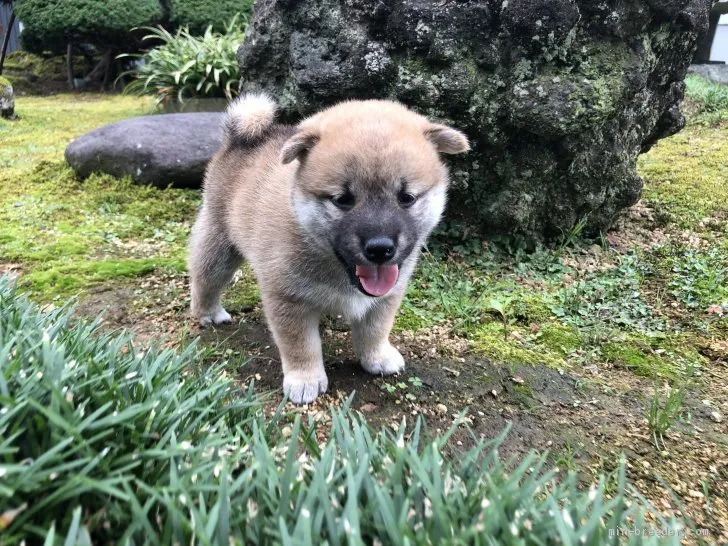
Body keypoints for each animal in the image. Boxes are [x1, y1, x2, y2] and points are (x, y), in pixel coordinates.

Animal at [188, 93, 470, 402]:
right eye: (343, 199)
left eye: (406, 197)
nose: (380, 248)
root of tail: (242, 138)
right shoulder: (288, 298)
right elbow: (301, 345)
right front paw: (305, 379)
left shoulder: (387, 296)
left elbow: (376, 330)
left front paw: (377, 357)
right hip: (220, 246)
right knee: (204, 278)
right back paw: (208, 312)